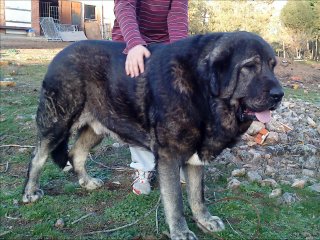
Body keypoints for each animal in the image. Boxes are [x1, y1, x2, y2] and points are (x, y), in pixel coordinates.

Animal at [23, 32, 282, 240]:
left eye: (273, 65)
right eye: (250, 66)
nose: (279, 95)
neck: (203, 91)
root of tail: (60, 53)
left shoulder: (195, 158)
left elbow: (197, 195)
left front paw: (204, 220)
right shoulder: (169, 157)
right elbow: (176, 202)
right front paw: (180, 232)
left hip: (96, 128)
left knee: (76, 153)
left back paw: (87, 182)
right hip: (57, 123)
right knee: (38, 157)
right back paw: (30, 192)